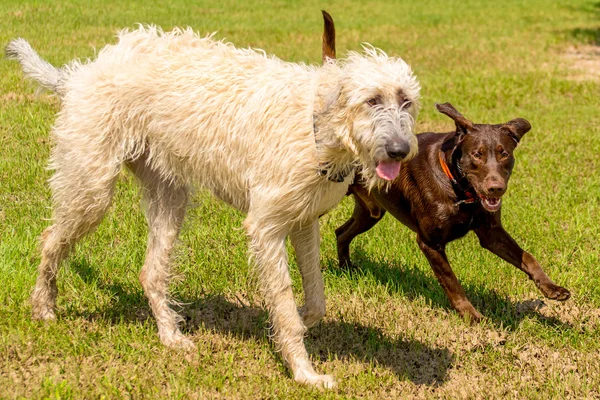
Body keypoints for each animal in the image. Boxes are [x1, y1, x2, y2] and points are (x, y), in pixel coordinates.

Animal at [5, 25, 418, 388]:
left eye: (407, 101)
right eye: (372, 100)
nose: (401, 150)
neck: (316, 122)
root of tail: (79, 74)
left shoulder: (303, 222)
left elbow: (315, 301)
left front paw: (298, 322)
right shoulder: (266, 228)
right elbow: (284, 301)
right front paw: (304, 373)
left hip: (168, 199)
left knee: (150, 273)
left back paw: (170, 335)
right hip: (91, 190)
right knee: (50, 240)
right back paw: (43, 307)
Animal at [324, 10, 572, 320]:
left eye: (504, 153)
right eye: (477, 154)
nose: (496, 189)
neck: (459, 188)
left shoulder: (490, 232)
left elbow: (528, 257)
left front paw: (552, 289)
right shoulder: (430, 242)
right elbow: (451, 281)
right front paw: (472, 316)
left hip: (371, 210)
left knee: (341, 232)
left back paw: (346, 267)